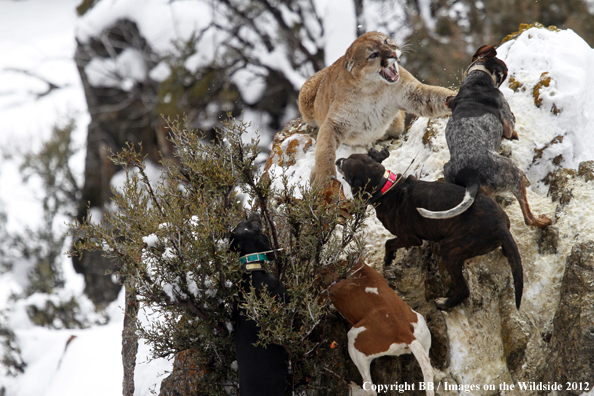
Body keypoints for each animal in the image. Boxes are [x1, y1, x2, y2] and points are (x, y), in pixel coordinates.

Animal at [336, 147, 520, 310]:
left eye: (345, 166)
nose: (338, 160)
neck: (386, 186)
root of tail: (500, 226)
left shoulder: (410, 237)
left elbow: (389, 243)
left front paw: (388, 259)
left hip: (450, 249)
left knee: (463, 289)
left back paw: (445, 304)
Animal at [416, 45, 552, 229]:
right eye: (505, 71)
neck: (477, 78)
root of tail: (471, 177)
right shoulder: (507, 119)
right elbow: (510, 128)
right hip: (513, 171)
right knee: (528, 217)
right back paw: (543, 221)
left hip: (449, 171)